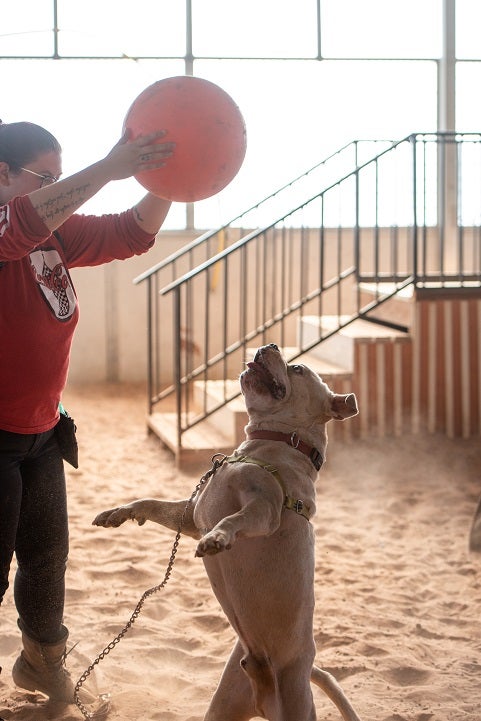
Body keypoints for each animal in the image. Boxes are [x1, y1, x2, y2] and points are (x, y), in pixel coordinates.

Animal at [93, 344, 360, 720]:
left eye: (298, 368)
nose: (267, 346)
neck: (269, 444)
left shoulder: (264, 509)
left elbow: (234, 520)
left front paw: (217, 539)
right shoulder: (191, 515)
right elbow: (154, 503)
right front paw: (121, 512)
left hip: (295, 699)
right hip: (226, 700)